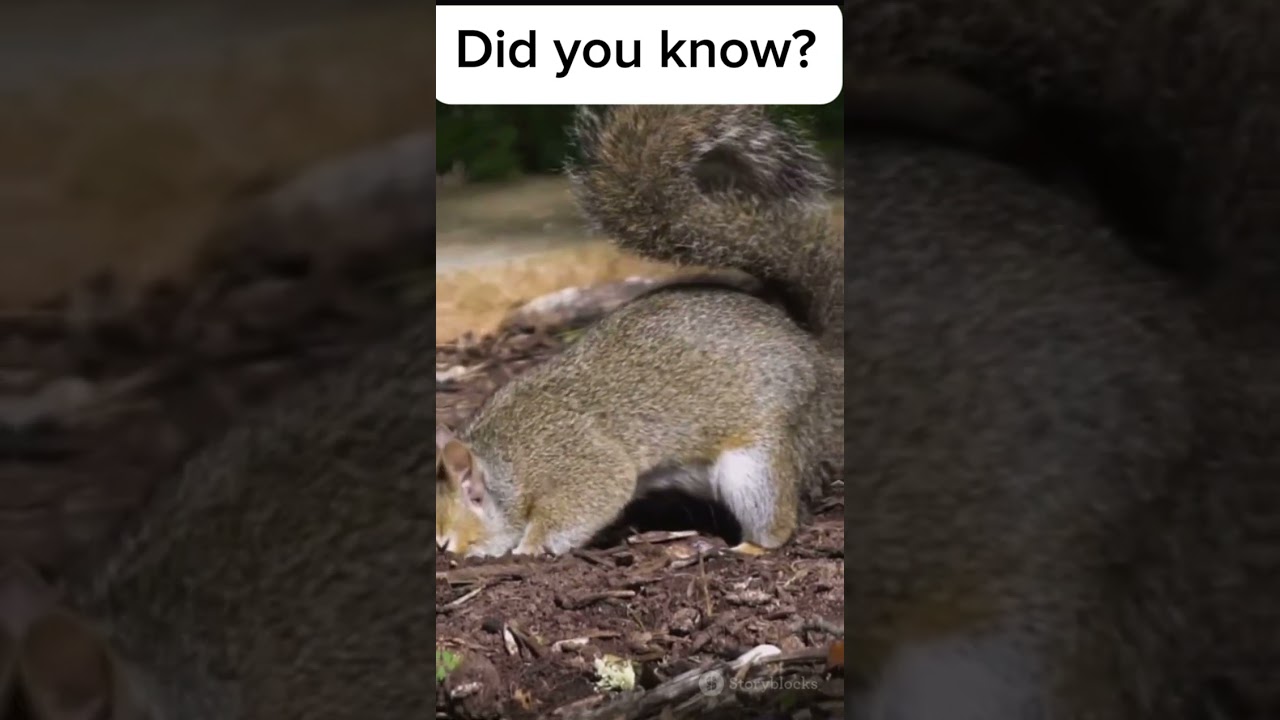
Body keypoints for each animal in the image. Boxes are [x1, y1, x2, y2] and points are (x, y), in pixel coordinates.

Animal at [434, 107, 844, 559]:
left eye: (446, 541)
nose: (448, 557)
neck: (508, 464)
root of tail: (814, 350)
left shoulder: (581, 463)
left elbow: (588, 499)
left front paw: (530, 548)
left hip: (758, 461)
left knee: (777, 518)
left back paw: (749, 547)